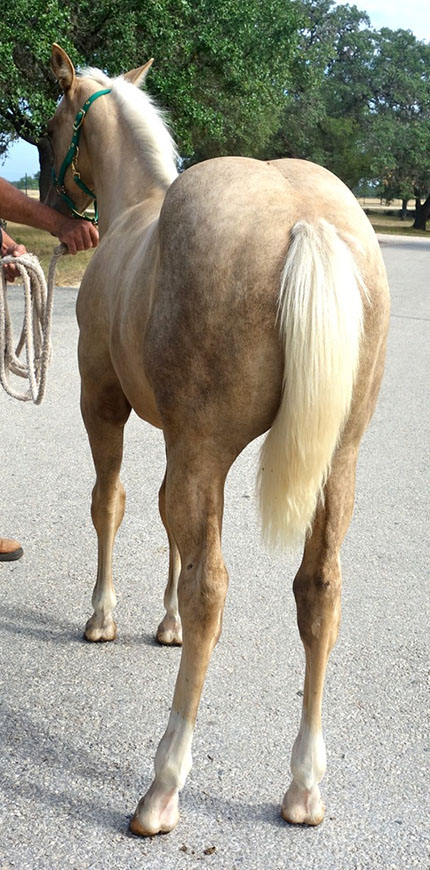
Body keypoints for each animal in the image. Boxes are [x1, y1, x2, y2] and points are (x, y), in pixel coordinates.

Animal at [46, 42, 390, 836]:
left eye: (49, 128)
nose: (53, 204)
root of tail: (306, 219)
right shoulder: (178, 437)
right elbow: (166, 524)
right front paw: (162, 622)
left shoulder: (105, 405)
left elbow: (110, 504)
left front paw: (104, 617)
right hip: (337, 463)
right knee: (319, 591)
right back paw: (303, 788)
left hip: (201, 447)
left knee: (214, 590)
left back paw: (163, 787)